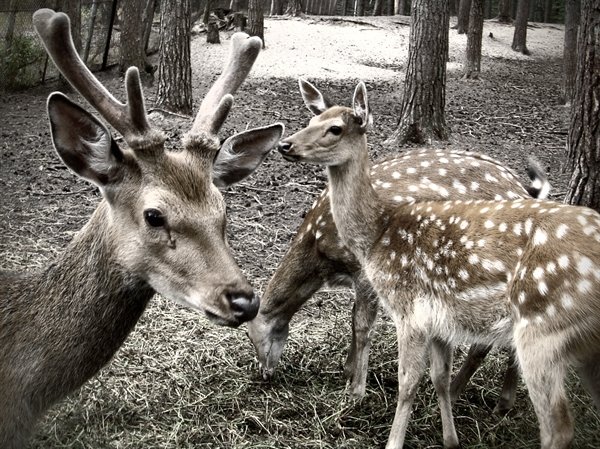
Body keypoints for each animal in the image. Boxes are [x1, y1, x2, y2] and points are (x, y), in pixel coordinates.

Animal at [276, 79, 600, 448]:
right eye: (312, 119)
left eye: (335, 128)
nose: (285, 144)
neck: (378, 232)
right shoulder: (439, 319)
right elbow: (438, 376)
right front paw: (450, 438)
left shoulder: (409, 311)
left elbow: (407, 380)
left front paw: (390, 437)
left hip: (543, 328)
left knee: (556, 425)